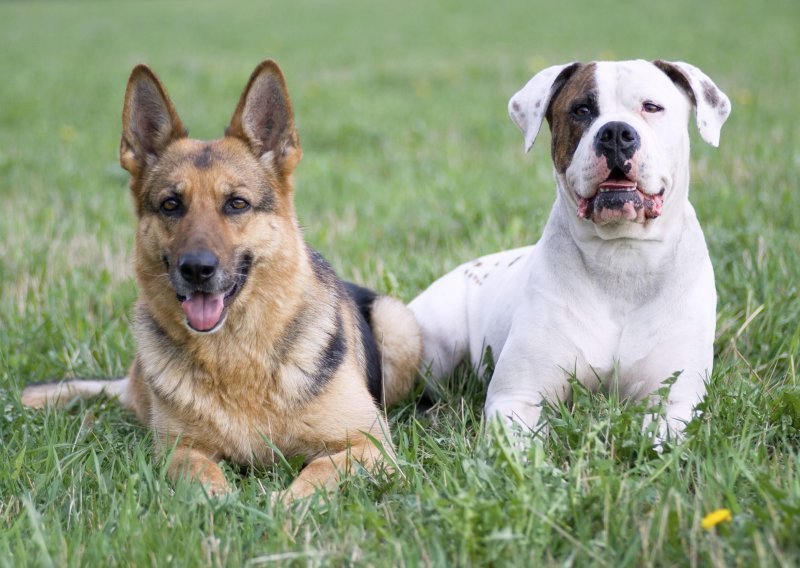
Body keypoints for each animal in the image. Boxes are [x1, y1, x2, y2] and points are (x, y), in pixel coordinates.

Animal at [20, 58, 418, 502]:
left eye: (237, 204)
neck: (235, 357)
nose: (196, 269)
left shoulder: (370, 445)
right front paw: (222, 503)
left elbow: (319, 471)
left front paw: (284, 505)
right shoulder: (180, 450)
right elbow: (202, 475)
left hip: (399, 328)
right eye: (171, 205)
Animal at [412, 60, 732, 438]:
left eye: (651, 107)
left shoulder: (675, 401)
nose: (616, 133)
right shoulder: (517, 397)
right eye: (581, 110)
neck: (622, 258)